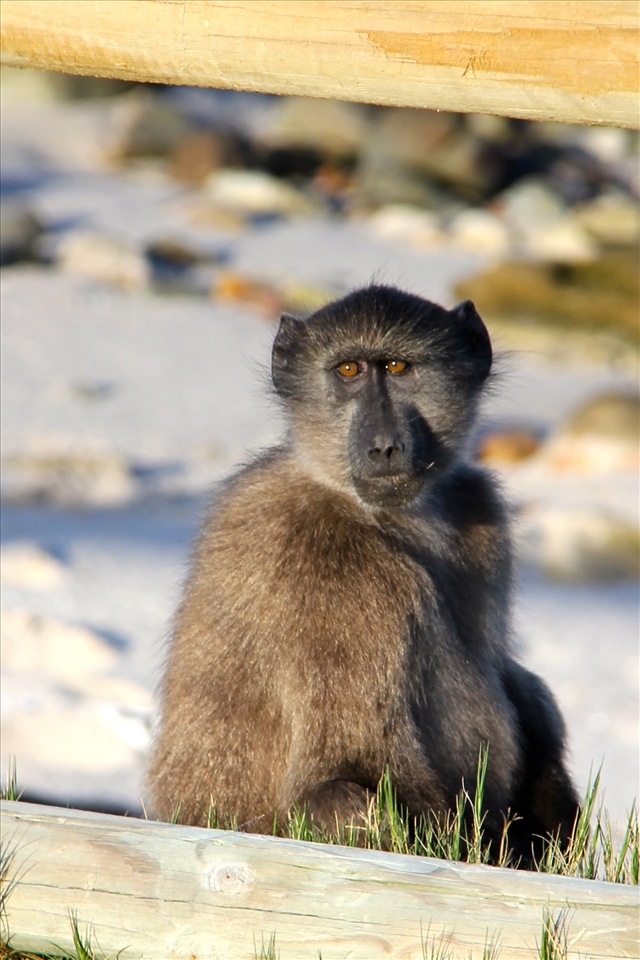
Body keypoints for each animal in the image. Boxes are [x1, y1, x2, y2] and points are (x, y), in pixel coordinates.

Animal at [145, 284, 579, 864]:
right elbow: (351, 765)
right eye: (348, 370)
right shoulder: (331, 570)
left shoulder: (477, 513)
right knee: (341, 798)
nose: (383, 447)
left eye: (397, 367)